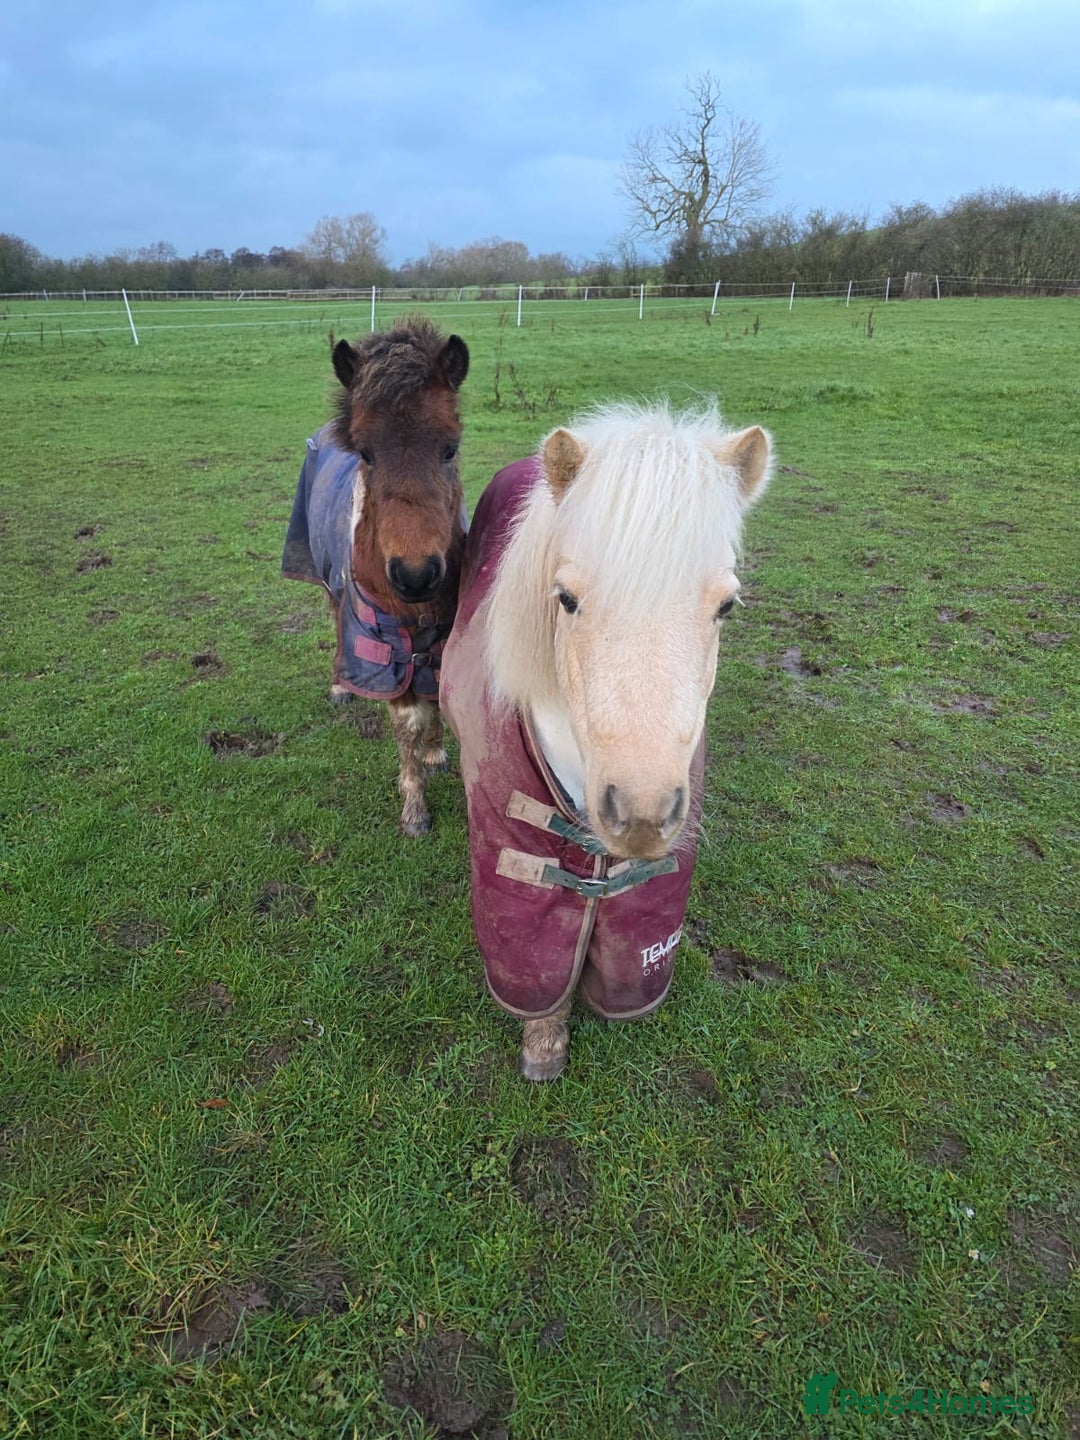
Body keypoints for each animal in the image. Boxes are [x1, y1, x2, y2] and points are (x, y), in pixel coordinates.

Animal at [282, 316, 469, 836]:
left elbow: (435, 694)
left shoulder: (440, 633)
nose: (416, 575)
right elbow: (406, 721)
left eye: (450, 448)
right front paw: (415, 810)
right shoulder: (383, 643)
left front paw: (436, 753)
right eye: (366, 453)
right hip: (330, 585)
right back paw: (338, 689)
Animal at [440, 400, 773, 1079]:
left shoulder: (653, 897)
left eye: (727, 606)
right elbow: (537, 963)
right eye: (566, 599)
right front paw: (544, 1042)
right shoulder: (512, 867)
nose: (641, 814)